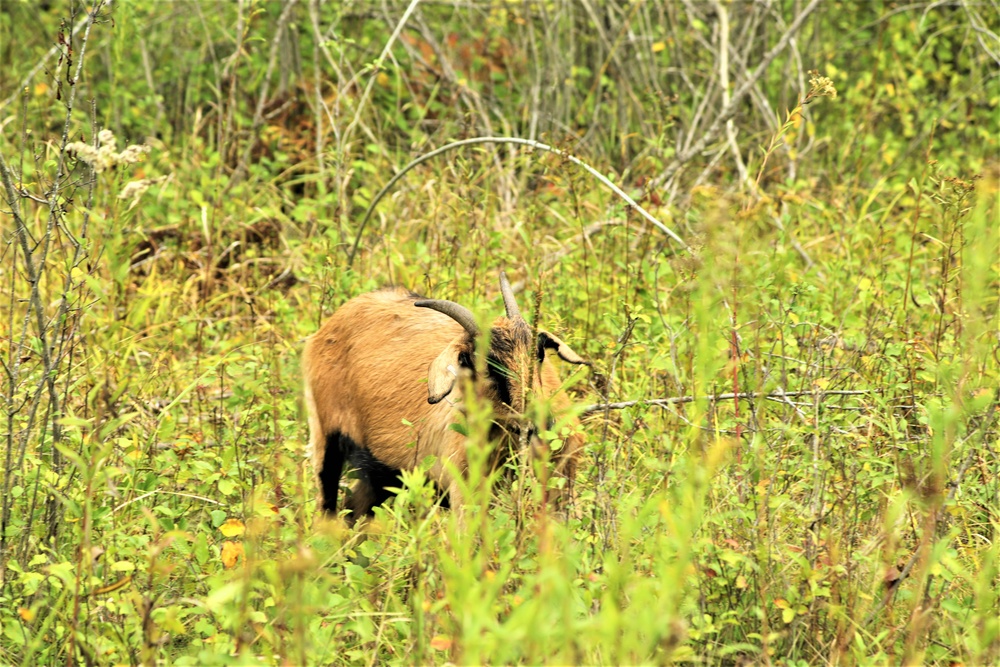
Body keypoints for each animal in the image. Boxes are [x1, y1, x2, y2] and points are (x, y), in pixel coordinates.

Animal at [300, 272, 588, 520]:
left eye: (538, 353)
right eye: (486, 365)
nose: (539, 425)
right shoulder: (463, 492)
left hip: (379, 475)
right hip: (325, 440)